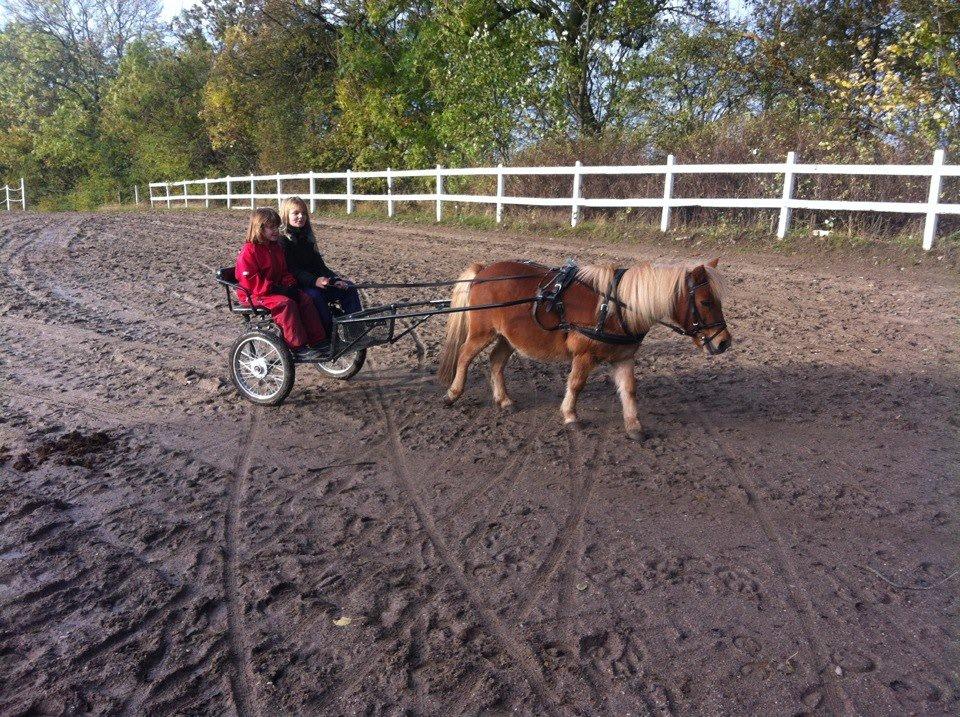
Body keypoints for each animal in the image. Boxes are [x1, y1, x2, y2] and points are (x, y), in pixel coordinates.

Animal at [438, 258, 732, 436]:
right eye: (705, 302)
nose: (724, 341)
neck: (614, 308)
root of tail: (483, 271)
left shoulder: (623, 357)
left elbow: (629, 389)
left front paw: (634, 426)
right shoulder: (584, 354)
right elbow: (577, 384)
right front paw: (570, 415)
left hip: (508, 337)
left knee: (496, 362)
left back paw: (504, 399)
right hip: (482, 332)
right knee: (464, 356)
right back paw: (453, 393)